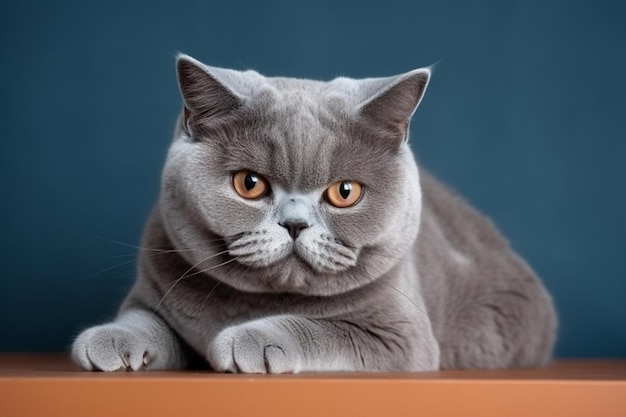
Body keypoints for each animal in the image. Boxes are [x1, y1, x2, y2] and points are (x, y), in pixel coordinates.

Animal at [70, 54, 552, 370]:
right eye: (249, 184)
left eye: (345, 192)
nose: (295, 223)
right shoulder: (153, 291)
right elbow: (144, 320)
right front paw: (109, 340)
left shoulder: (402, 337)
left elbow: (324, 328)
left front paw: (252, 340)